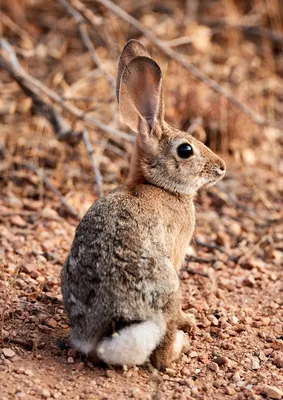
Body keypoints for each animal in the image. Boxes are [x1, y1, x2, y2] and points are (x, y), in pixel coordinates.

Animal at [62, 39, 226, 370]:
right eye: (186, 150)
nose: (221, 167)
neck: (156, 184)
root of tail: (105, 337)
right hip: (167, 286)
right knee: (162, 353)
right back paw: (184, 339)